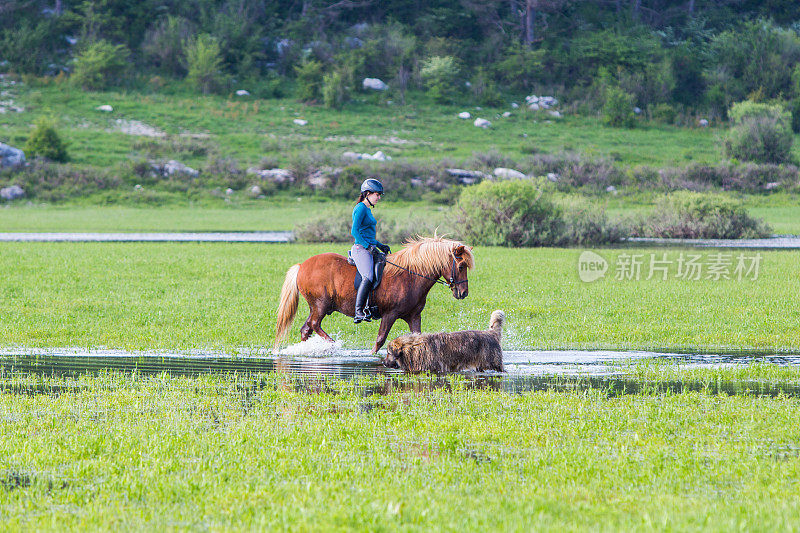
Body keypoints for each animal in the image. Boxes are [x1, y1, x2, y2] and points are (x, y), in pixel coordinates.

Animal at [276, 236, 476, 354]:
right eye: (461, 266)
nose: (463, 293)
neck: (410, 276)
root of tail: (302, 266)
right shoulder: (390, 314)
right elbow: (380, 340)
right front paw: (373, 356)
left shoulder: (413, 316)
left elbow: (418, 338)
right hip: (320, 305)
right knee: (314, 325)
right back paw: (333, 344)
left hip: (316, 307)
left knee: (306, 329)